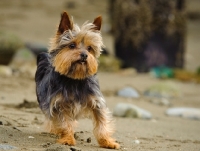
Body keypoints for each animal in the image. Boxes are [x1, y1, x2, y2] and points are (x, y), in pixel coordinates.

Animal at [35, 11, 119, 149]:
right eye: (72, 45)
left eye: (90, 48)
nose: (84, 55)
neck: (75, 79)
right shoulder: (59, 105)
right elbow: (65, 123)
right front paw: (68, 139)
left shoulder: (97, 103)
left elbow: (102, 124)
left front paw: (107, 142)